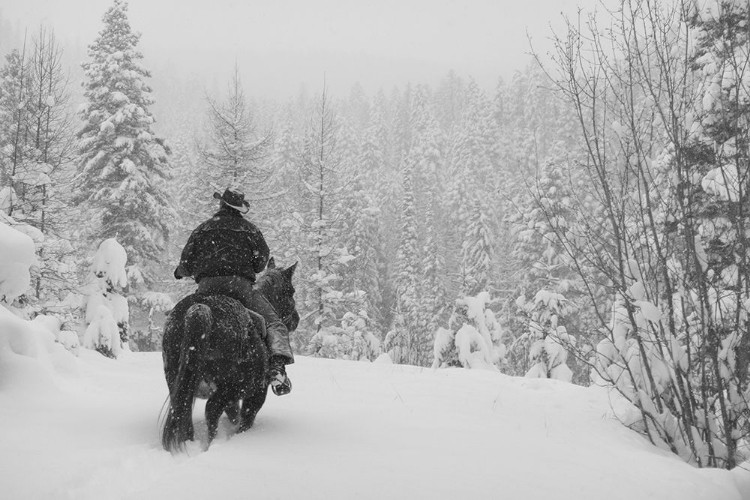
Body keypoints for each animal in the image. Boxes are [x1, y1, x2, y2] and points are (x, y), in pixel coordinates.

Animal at [162, 260, 300, 452]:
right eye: (291, 291)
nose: (296, 320)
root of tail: (201, 308)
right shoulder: (257, 392)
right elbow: (246, 418)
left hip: (177, 381)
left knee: (183, 414)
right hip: (230, 387)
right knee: (211, 412)